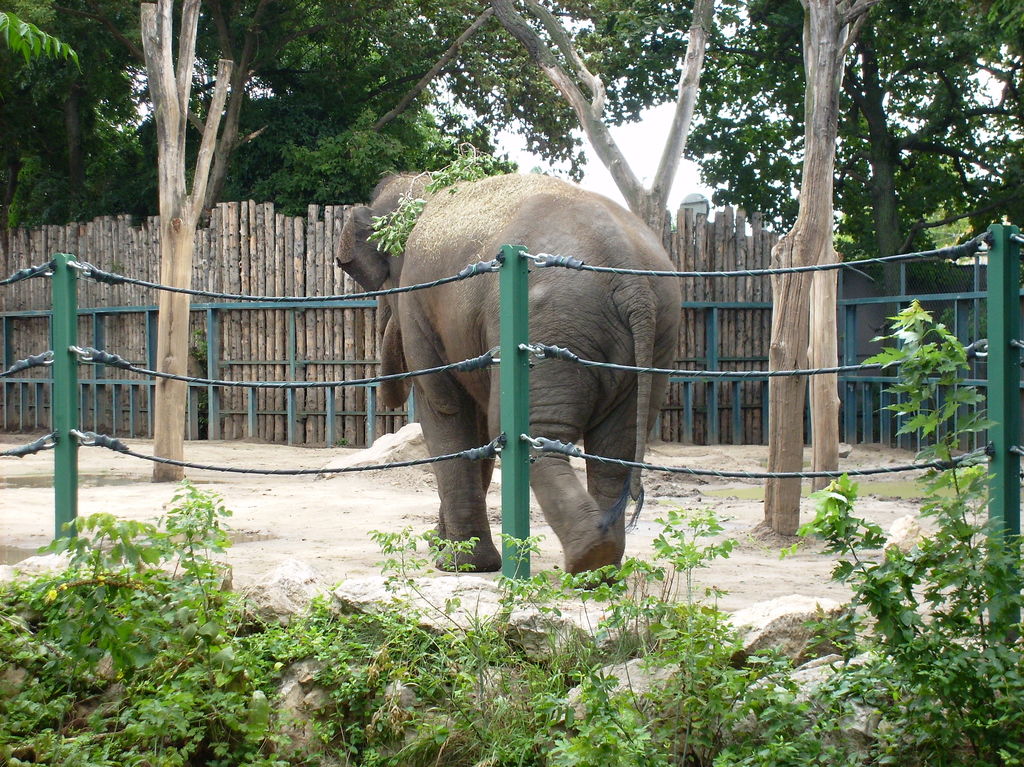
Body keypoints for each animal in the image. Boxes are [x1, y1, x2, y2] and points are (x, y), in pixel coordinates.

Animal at [338, 172, 680, 573]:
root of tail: (632, 284)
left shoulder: (419, 303)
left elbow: (446, 409)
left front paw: (458, 564)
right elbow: (476, 431)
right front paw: (449, 549)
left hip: (551, 323)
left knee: (535, 432)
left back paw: (588, 555)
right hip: (656, 339)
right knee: (616, 447)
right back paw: (601, 569)